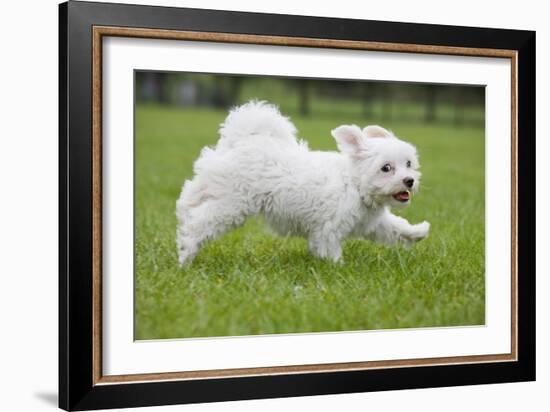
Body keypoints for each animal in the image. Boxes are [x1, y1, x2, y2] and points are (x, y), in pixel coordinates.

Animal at [177, 101, 432, 266]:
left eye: (409, 163)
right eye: (386, 168)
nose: (409, 181)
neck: (354, 184)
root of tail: (243, 140)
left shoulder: (373, 223)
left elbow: (396, 228)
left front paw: (417, 232)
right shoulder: (328, 229)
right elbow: (330, 250)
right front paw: (339, 268)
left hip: (216, 186)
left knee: (190, 196)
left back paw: (183, 216)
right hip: (233, 203)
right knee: (199, 222)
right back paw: (186, 253)